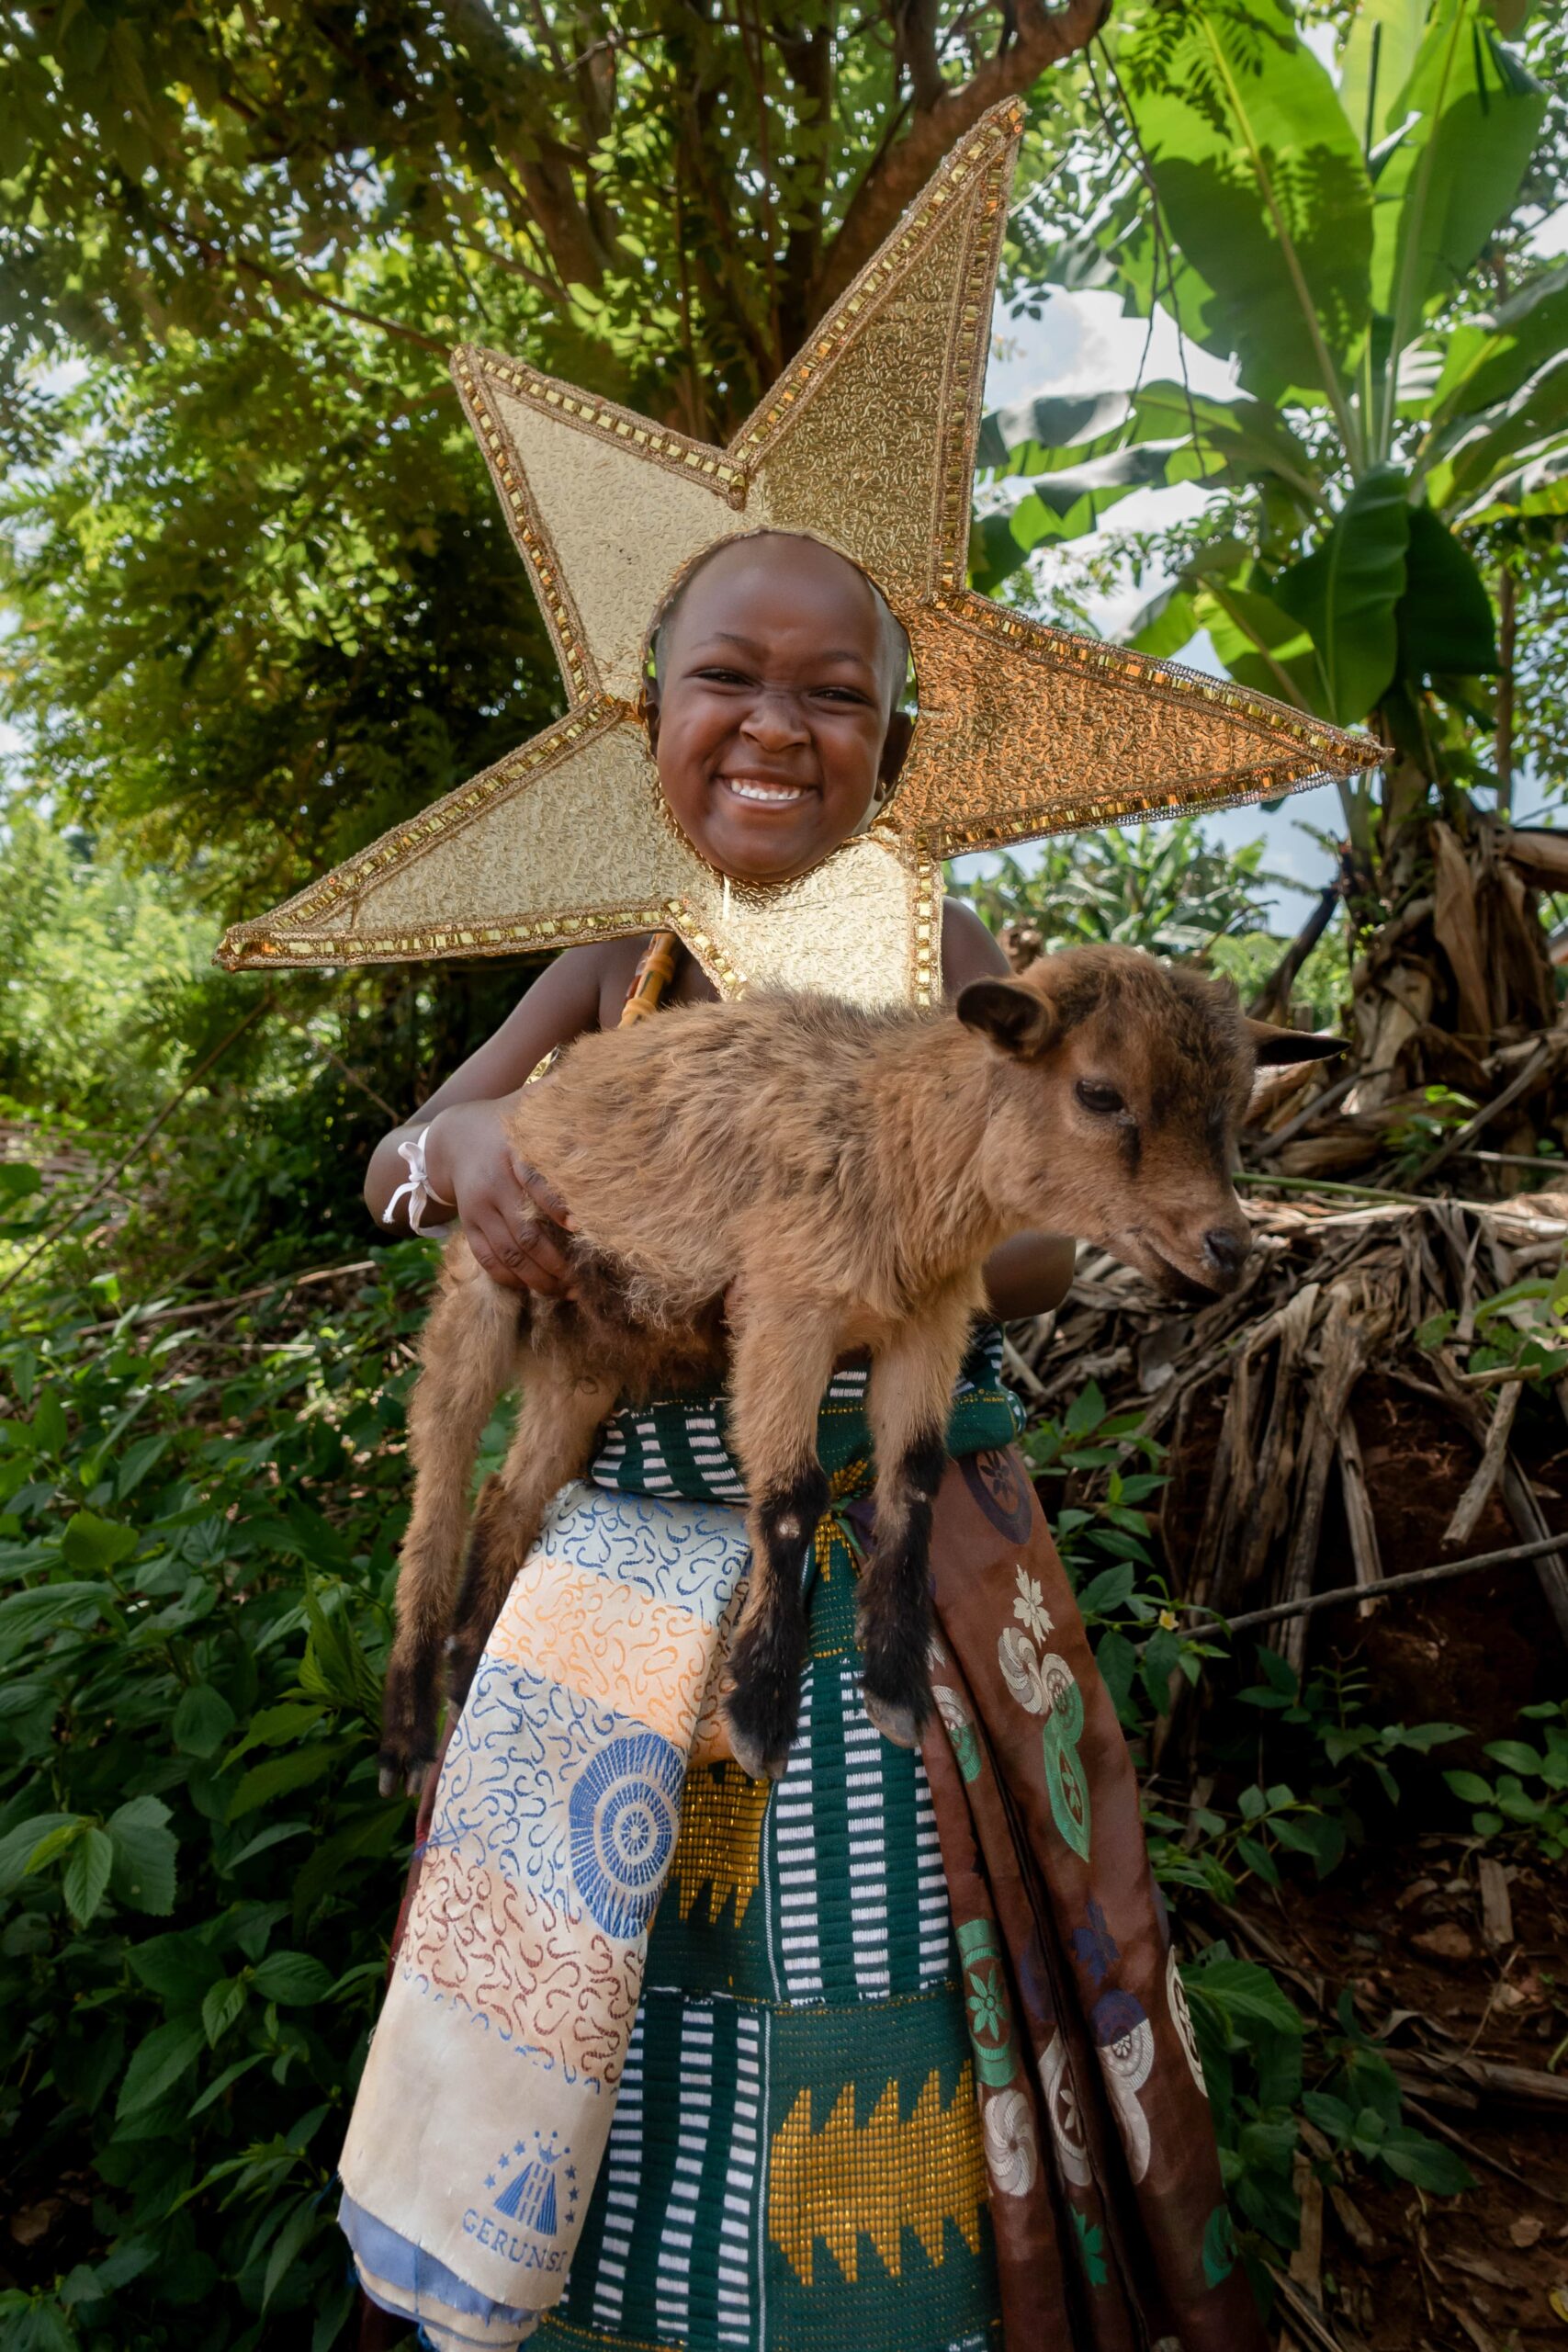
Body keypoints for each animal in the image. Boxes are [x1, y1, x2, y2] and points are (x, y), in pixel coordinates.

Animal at [378, 944, 1335, 1793]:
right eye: (1099, 1093)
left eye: (1234, 1109)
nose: (1228, 1249)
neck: (892, 1147)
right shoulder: (781, 1310)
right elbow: (790, 1499)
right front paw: (760, 1710)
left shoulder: (926, 1328)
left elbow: (911, 1482)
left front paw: (895, 1687)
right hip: (481, 1293)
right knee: (437, 1491)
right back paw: (409, 1728)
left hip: (582, 1369)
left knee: (509, 1493)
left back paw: (466, 1657)